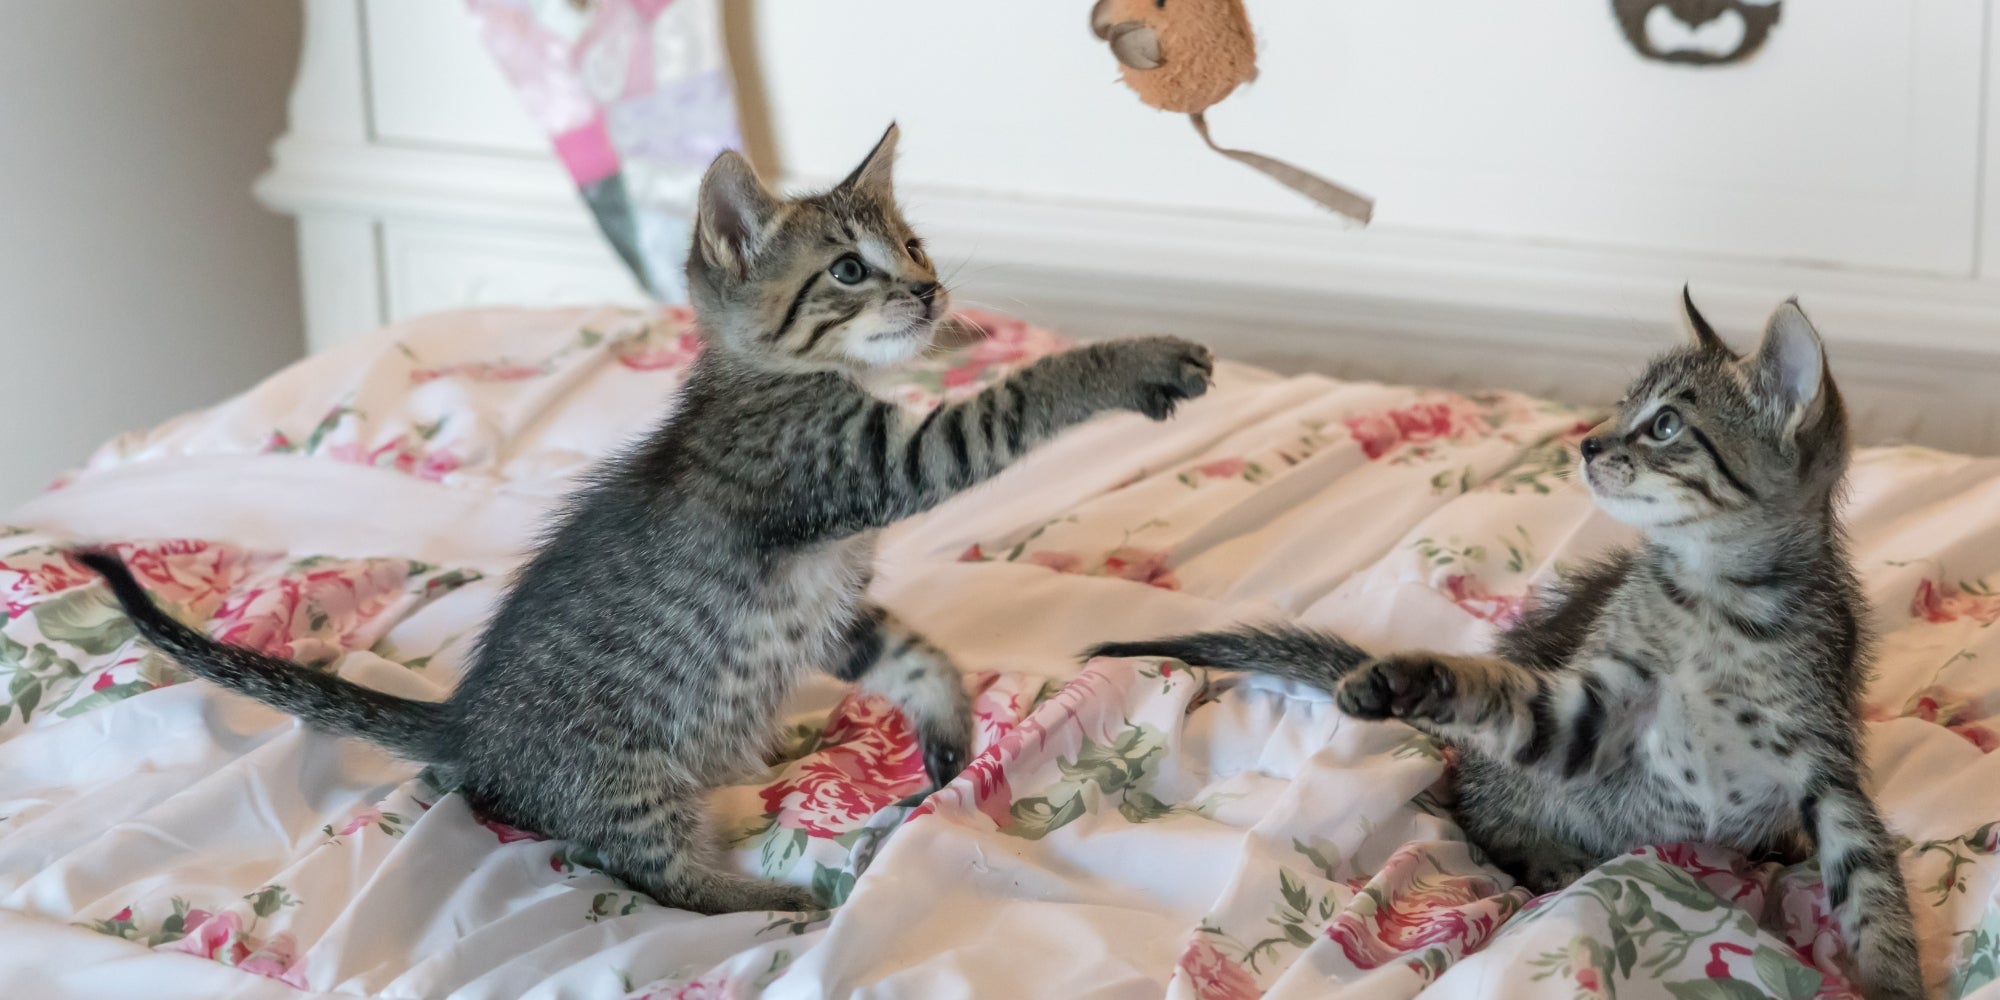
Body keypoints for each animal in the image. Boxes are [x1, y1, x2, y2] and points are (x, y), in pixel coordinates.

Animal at [82, 123, 1216, 916]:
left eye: (913, 242)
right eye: (850, 269)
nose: (933, 291)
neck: (779, 377)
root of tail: (466, 722)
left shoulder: (827, 601)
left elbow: (915, 653)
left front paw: (946, 727)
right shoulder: (866, 468)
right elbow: (1019, 399)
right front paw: (1138, 357)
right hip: (628, 779)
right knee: (652, 875)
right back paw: (781, 899)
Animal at [1096, 292, 1920, 1000]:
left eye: (1664, 426)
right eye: (1624, 406)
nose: (1586, 442)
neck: (1716, 600)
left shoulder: (1826, 764)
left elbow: (1873, 889)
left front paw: (1891, 981)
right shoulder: (1590, 712)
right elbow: (1498, 697)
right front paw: (1399, 679)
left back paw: (1773, 839)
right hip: (1523, 784)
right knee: (1478, 802)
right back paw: (1547, 852)